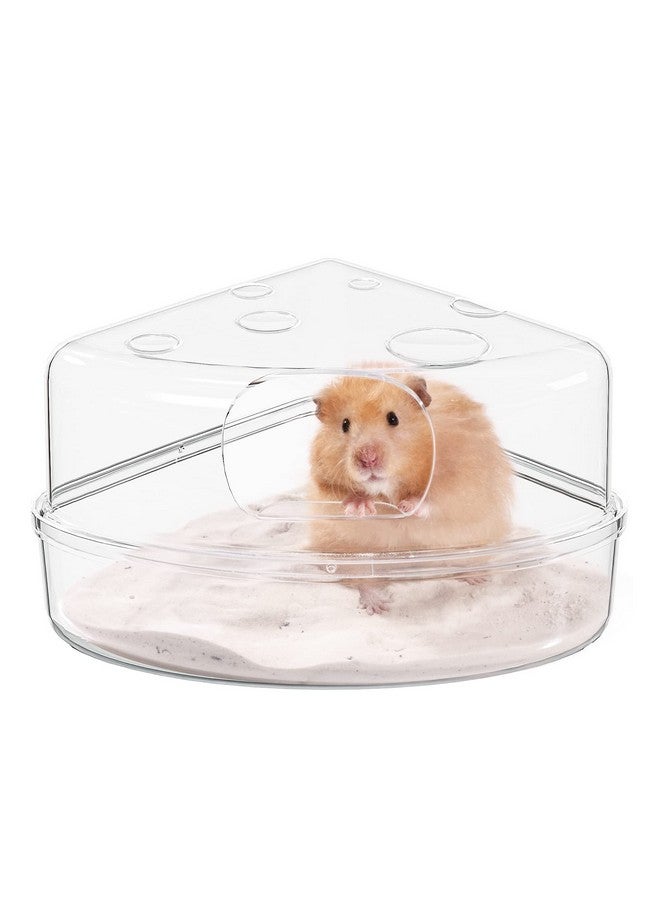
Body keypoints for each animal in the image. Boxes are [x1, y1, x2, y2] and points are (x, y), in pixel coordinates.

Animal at [308, 373, 513, 612]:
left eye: (393, 418)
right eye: (345, 424)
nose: (368, 458)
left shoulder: (462, 479)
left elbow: (438, 497)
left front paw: (407, 506)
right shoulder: (324, 484)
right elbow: (340, 496)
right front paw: (362, 507)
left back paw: (478, 578)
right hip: (351, 557)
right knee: (364, 582)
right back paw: (378, 606)